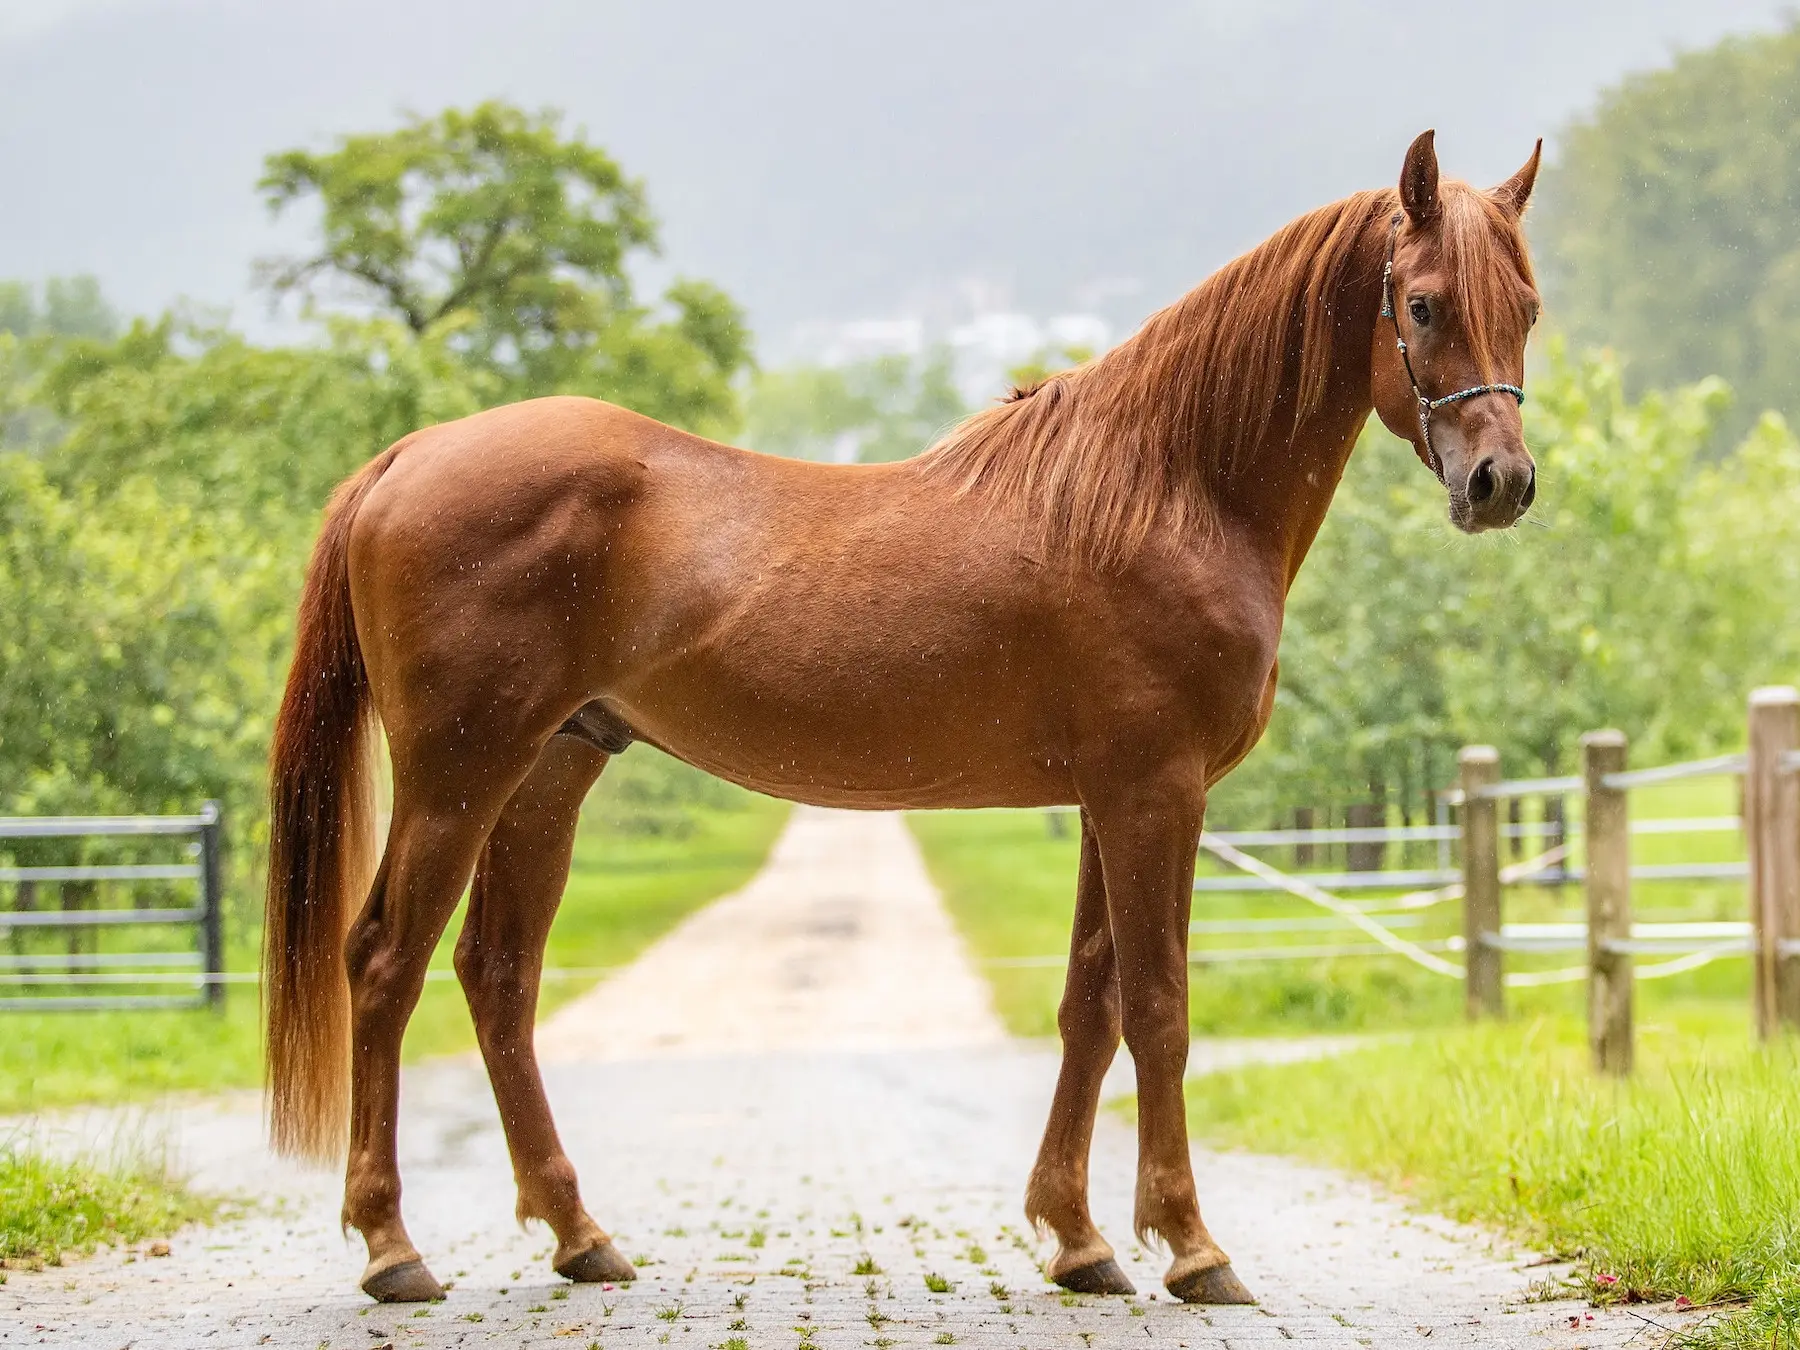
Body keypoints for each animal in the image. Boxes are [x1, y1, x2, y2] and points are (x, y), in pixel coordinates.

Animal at [262, 135, 1548, 1310]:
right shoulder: (1156, 792)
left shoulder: (1105, 800)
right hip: (458, 777)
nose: (1502, 485)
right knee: (384, 964)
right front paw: (1191, 1246)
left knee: (498, 977)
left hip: (550, 771)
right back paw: (392, 1248)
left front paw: (1077, 1239)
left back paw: (581, 1236)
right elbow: (1161, 1008)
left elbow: (1090, 1004)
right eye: (1423, 304)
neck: (1165, 490)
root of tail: (405, 457)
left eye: (1528, 307)